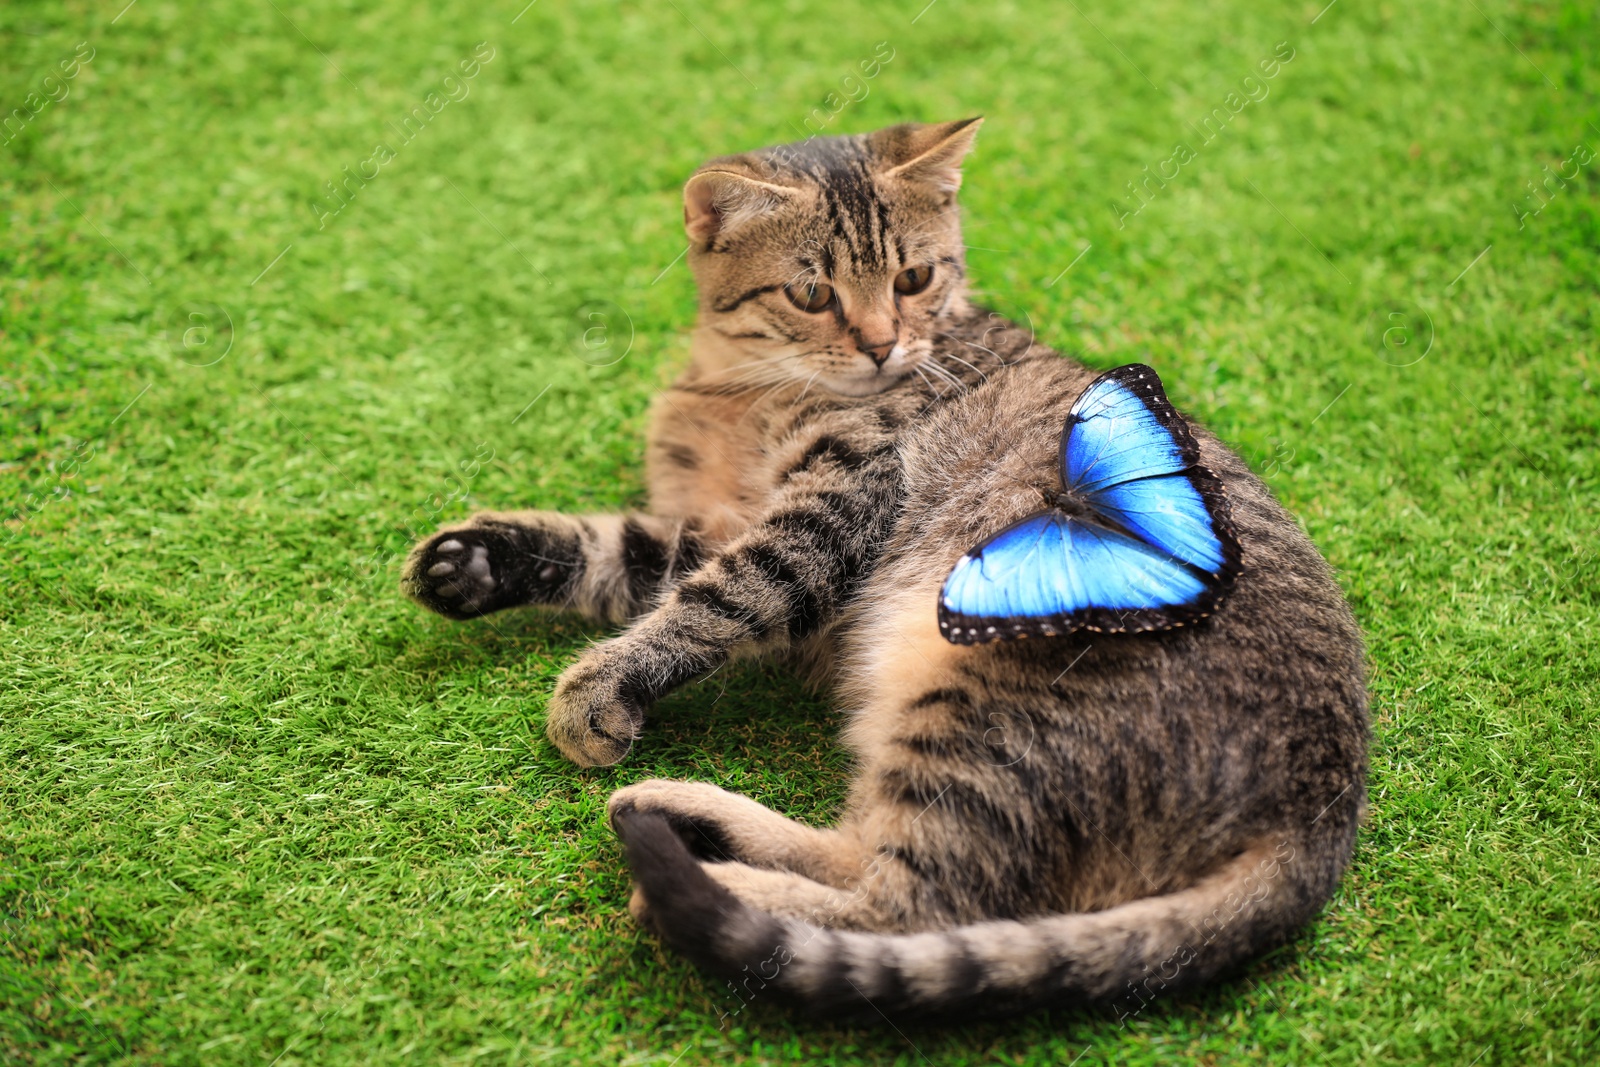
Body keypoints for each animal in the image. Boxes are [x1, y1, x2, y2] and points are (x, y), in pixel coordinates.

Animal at [406, 120, 1369, 1023]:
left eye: (913, 279)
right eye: (811, 293)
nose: (879, 345)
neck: (737, 388)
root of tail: (1322, 807)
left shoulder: (833, 506)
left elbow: (713, 601)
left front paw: (599, 685)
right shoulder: (701, 527)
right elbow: (612, 553)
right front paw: (478, 561)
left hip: (977, 710)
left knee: (907, 907)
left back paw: (698, 879)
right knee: (864, 859)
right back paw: (684, 814)